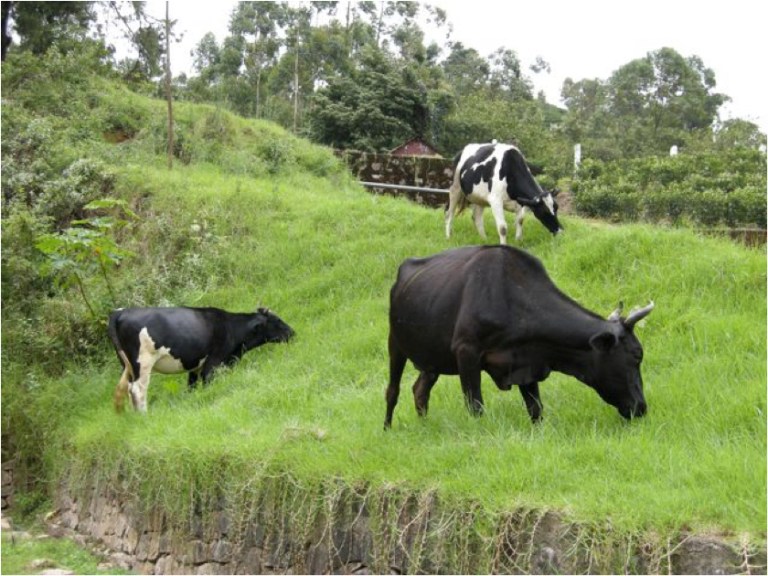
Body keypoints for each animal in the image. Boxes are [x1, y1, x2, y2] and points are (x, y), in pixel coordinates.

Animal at [108, 306, 295, 413]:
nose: (293, 333)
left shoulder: (196, 367)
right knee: (138, 390)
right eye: (278, 320)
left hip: (127, 366)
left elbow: (192, 387)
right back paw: (144, 416)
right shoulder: (213, 363)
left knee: (130, 390)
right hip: (143, 363)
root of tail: (121, 311)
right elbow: (208, 385)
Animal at [384, 245, 654, 429]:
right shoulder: (466, 352)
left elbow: (536, 409)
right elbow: (476, 406)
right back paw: (388, 429)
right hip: (395, 343)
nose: (641, 407)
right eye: (637, 355)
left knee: (420, 389)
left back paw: (424, 425)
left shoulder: (528, 363)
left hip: (432, 358)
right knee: (393, 390)